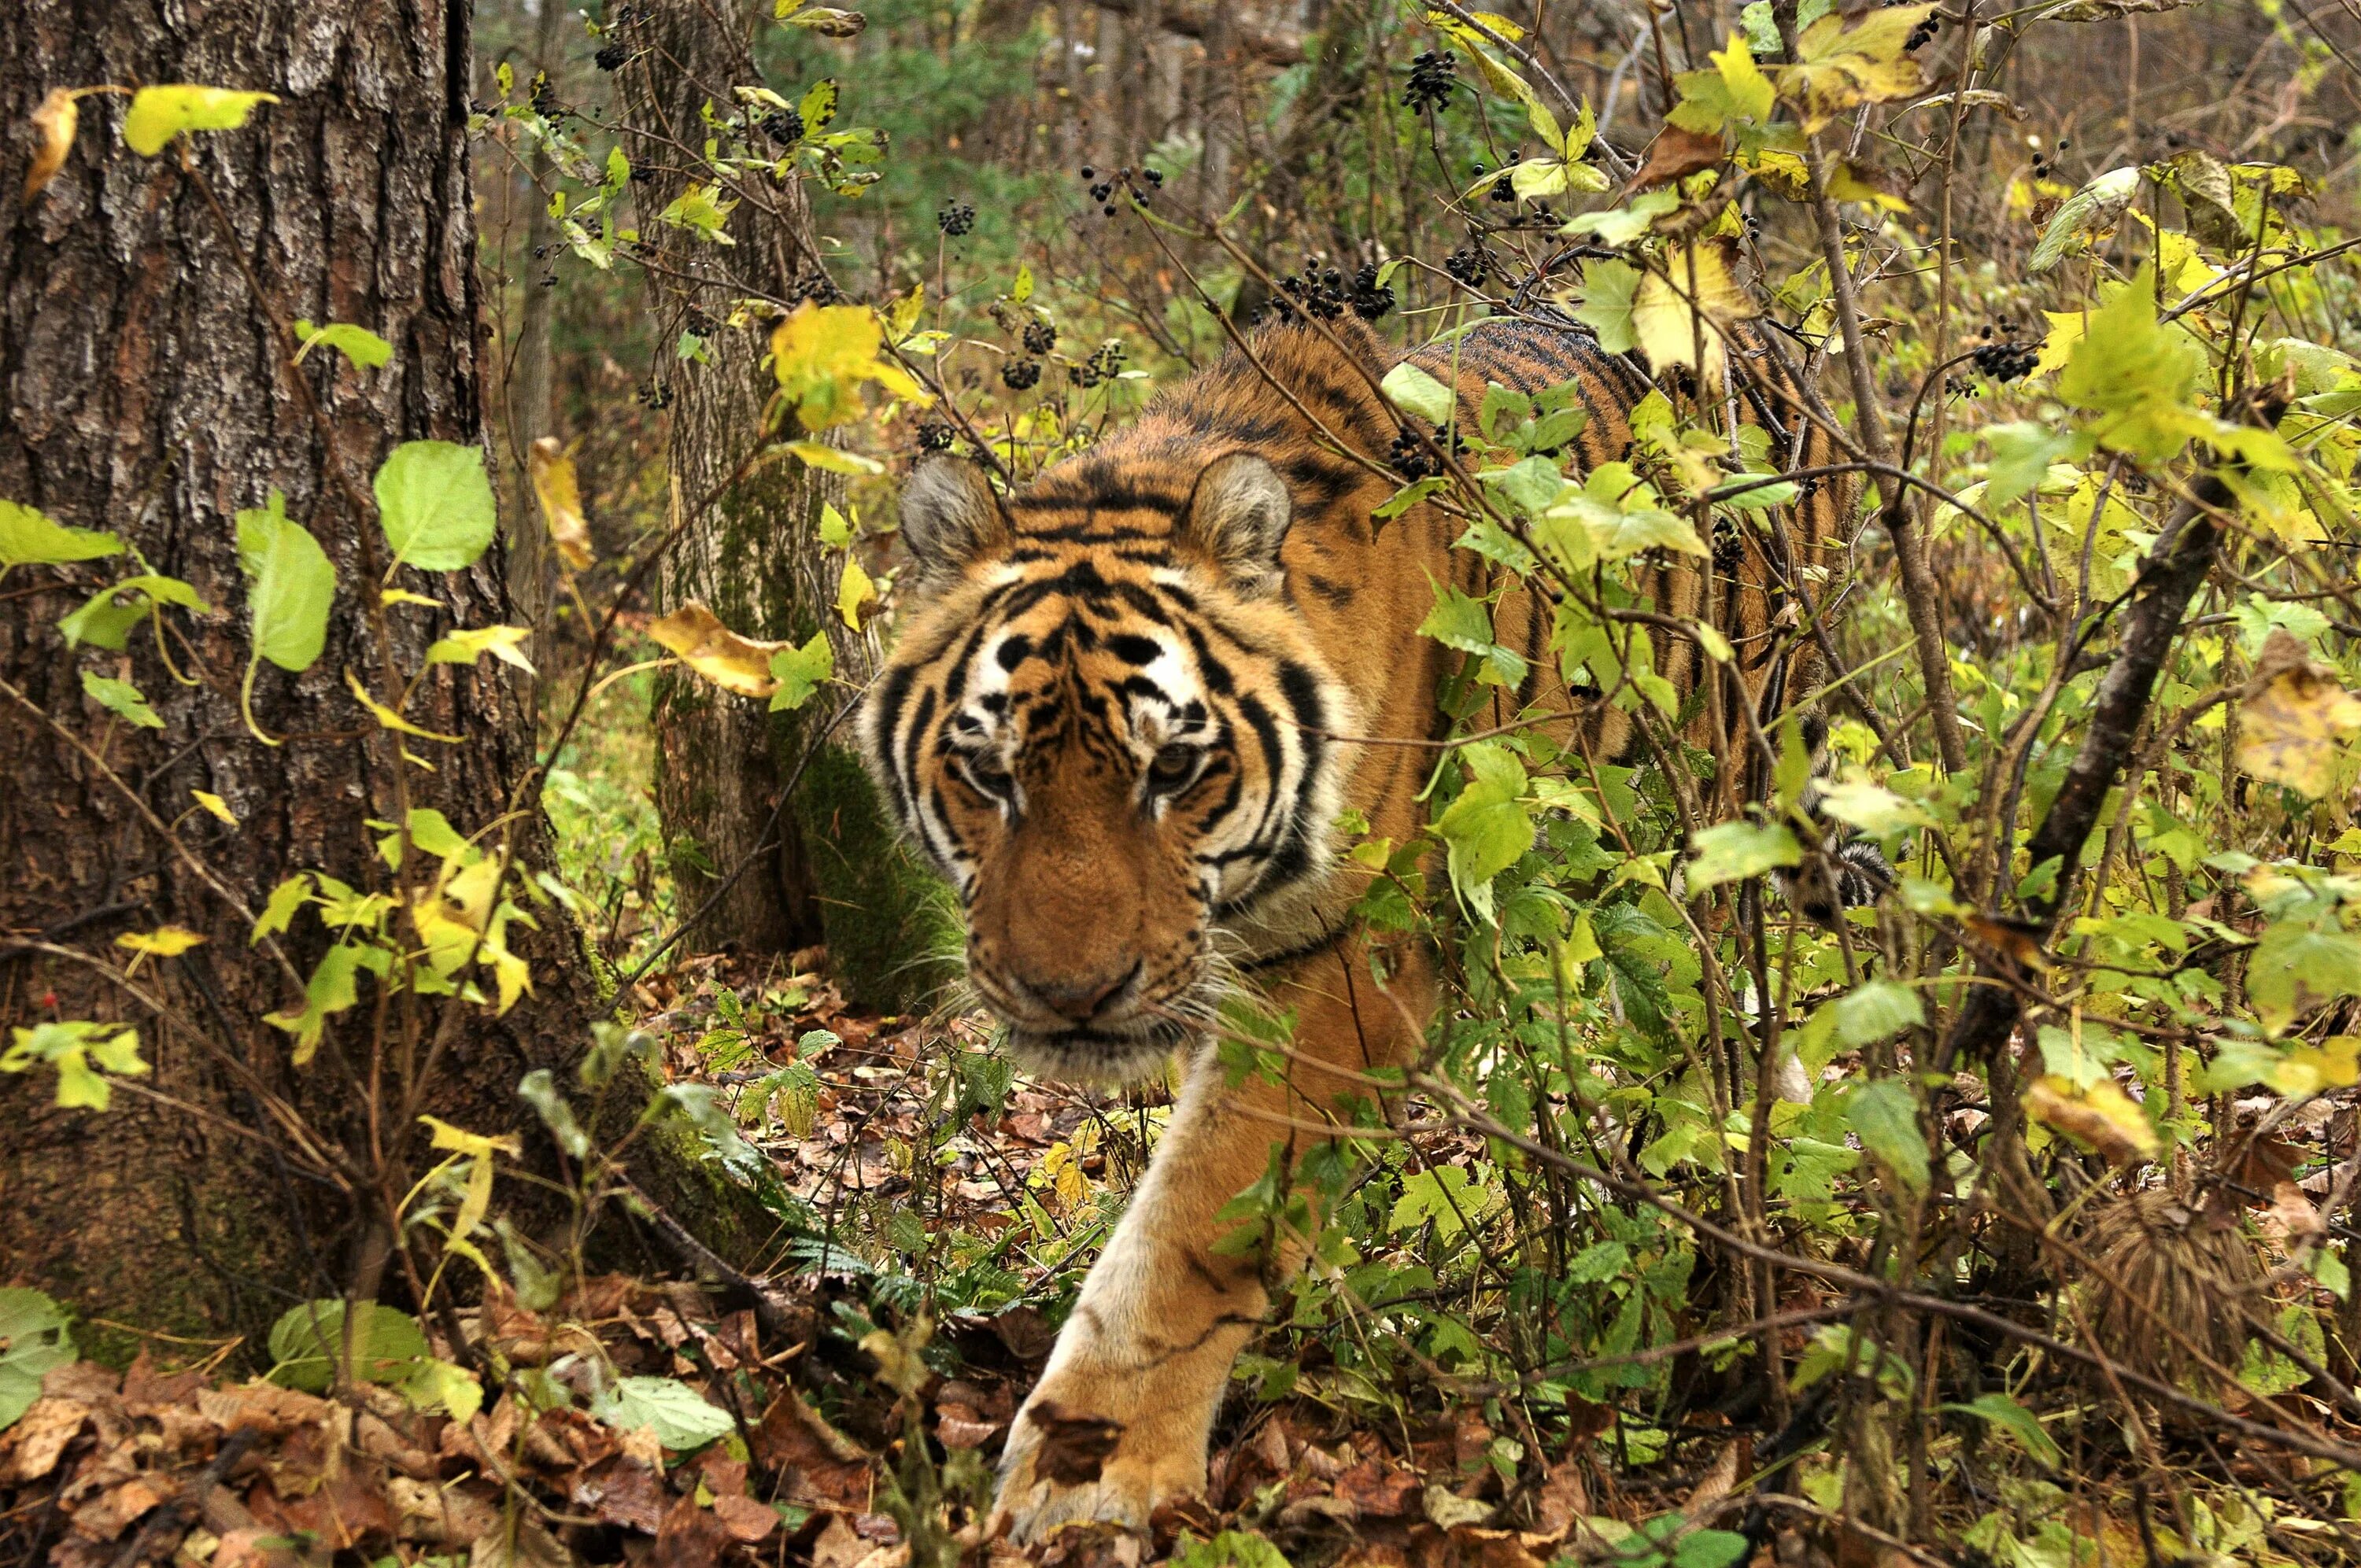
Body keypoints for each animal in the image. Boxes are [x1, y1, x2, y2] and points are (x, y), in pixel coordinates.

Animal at [859, 300, 1851, 1539]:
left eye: (1173, 769)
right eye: (988, 774)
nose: (1069, 996)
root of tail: (1777, 339)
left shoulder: (1345, 967)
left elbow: (1193, 1223)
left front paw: (1087, 1470)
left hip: (1731, 784)